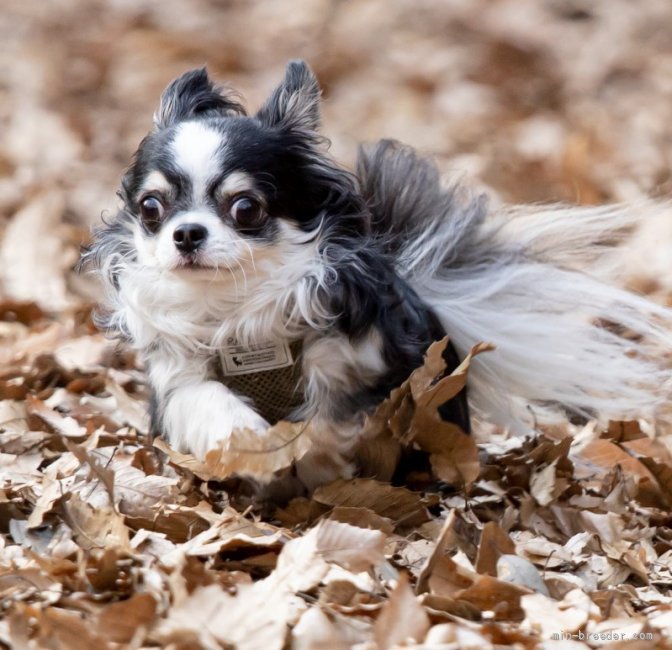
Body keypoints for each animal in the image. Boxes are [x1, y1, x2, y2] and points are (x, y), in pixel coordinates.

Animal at [82, 59, 672, 486]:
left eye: (245, 208)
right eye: (152, 208)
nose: (186, 233)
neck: (237, 306)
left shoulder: (372, 369)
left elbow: (333, 418)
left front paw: (314, 455)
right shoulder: (178, 381)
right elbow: (207, 400)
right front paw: (249, 438)